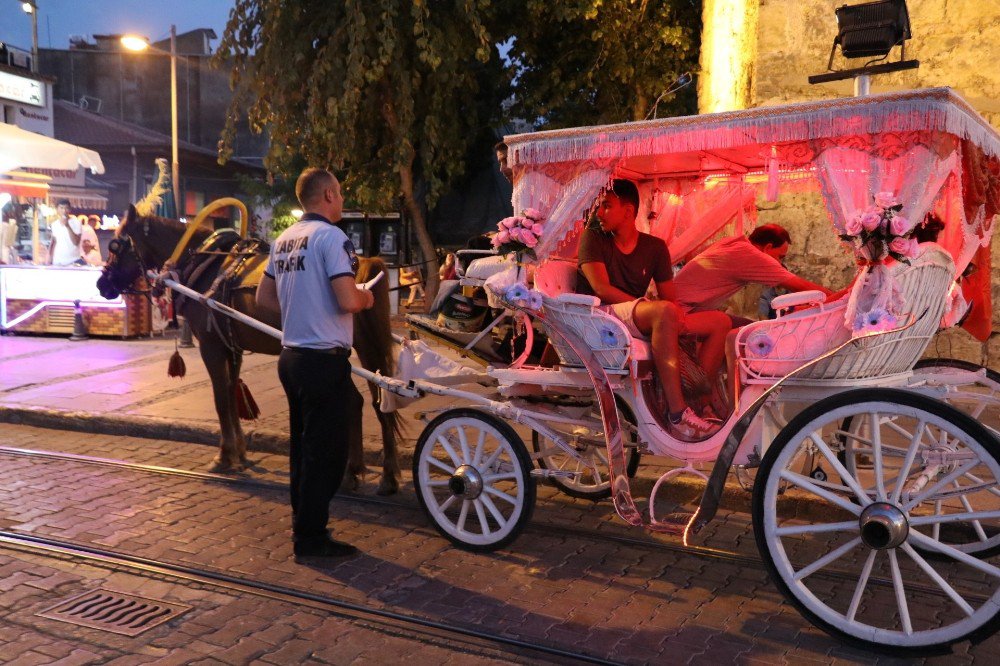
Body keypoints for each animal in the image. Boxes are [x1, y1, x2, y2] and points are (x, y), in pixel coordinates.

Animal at [97, 206, 402, 492]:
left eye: (116, 245)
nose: (102, 284)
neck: (204, 264)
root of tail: (362, 266)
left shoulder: (211, 346)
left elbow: (221, 399)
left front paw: (224, 456)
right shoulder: (233, 347)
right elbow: (232, 393)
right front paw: (240, 454)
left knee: (355, 402)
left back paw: (359, 473)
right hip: (361, 349)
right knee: (373, 401)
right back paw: (379, 473)